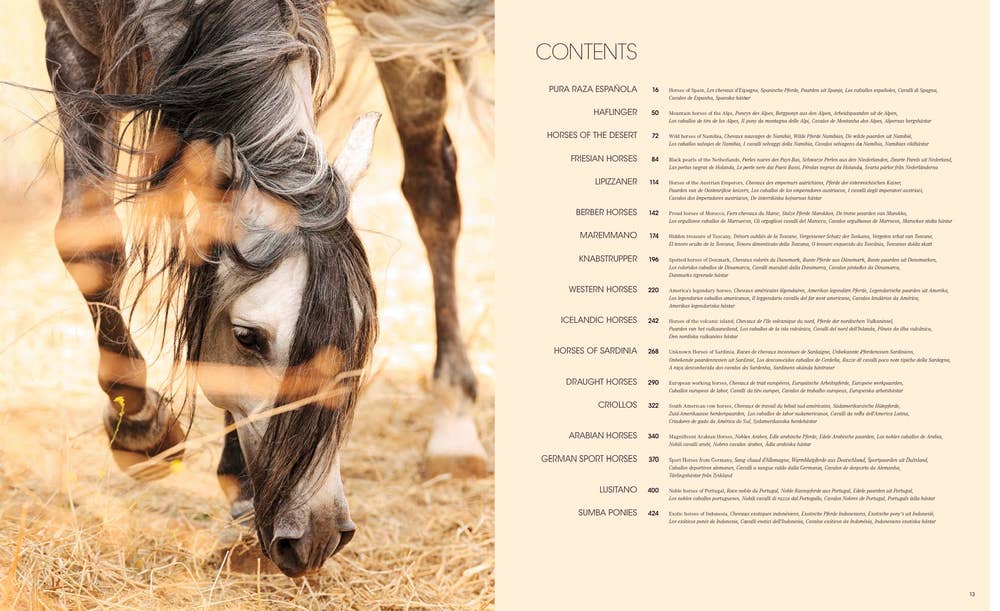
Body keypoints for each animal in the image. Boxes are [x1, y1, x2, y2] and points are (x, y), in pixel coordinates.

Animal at [36, 0, 492, 577]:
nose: (319, 537)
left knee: (434, 188)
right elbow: (86, 243)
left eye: (362, 338)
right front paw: (141, 424)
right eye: (247, 337)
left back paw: (454, 430)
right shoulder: (71, 37)